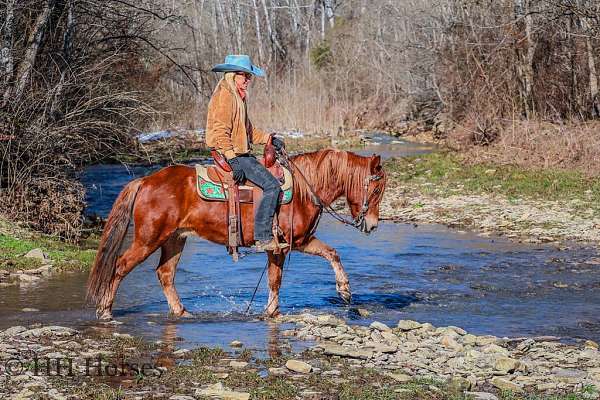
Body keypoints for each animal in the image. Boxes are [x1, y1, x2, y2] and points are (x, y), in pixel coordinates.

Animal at [86, 148, 386, 320]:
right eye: (376, 189)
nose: (372, 225)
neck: (304, 189)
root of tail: (146, 181)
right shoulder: (286, 244)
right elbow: (279, 278)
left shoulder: (291, 244)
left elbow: (326, 255)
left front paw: (344, 291)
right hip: (148, 239)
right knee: (120, 266)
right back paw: (105, 310)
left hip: (175, 239)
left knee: (165, 273)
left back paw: (181, 311)